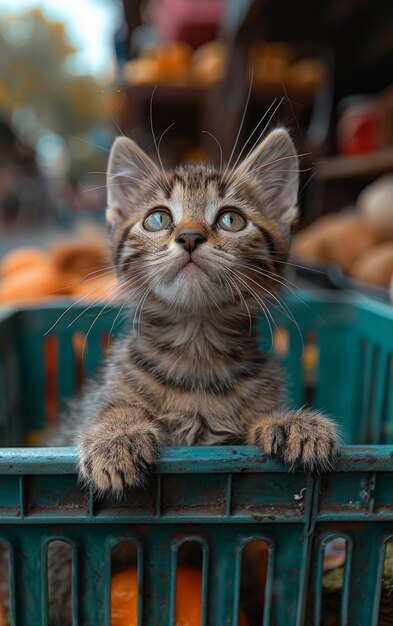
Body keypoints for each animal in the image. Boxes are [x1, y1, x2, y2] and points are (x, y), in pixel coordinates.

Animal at [55, 127, 336, 488]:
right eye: (157, 219)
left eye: (231, 219)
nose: (189, 237)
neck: (197, 352)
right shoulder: (95, 402)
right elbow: (111, 408)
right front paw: (116, 435)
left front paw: (291, 422)